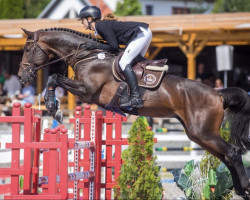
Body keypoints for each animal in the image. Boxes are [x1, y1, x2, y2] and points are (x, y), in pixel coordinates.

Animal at [18, 28, 250, 198]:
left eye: (28, 49)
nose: (21, 77)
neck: (88, 56)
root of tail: (217, 94)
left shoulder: (87, 91)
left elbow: (54, 78)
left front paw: (53, 108)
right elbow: (55, 78)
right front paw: (53, 107)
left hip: (204, 132)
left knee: (233, 152)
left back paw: (245, 188)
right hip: (198, 135)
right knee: (227, 157)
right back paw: (239, 190)